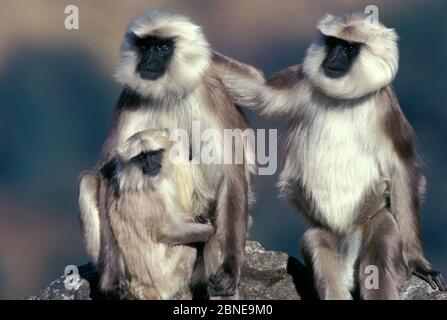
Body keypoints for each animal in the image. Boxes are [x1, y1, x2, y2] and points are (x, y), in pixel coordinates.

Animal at [78, 10, 256, 300]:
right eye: (145, 46)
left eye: (162, 47)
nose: (149, 59)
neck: (167, 93)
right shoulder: (130, 97)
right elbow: (107, 173)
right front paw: (111, 277)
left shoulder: (210, 92)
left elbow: (231, 175)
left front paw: (229, 270)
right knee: (87, 181)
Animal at [213, 11, 444, 298]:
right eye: (332, 43)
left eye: (348, 48)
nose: (332, 58)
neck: (344, 99)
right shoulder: (303, 83)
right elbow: (260, 91)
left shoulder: (386, 107)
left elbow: (403, 169)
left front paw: (420, 264)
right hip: (325, 235)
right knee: (317, 246)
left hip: (374, 219)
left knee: (380, 250)